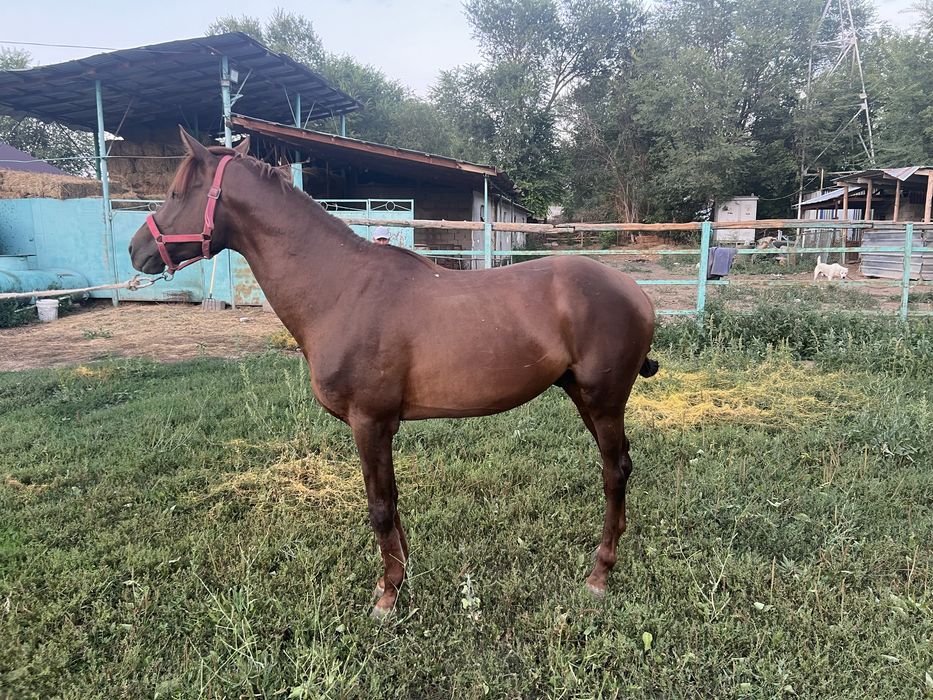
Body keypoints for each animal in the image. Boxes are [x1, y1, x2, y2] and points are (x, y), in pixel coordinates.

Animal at [129, 128, 660, 618]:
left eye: (176, 193)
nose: (137, 250)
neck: (341, 288)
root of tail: (634, 290)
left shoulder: (369, 422)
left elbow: (380, 508)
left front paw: (388, 595)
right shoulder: (381, 427)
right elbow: (393, 501)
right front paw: (398, 575)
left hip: (604, 402)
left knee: (615, 471)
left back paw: (599, 573)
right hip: (583, 398)